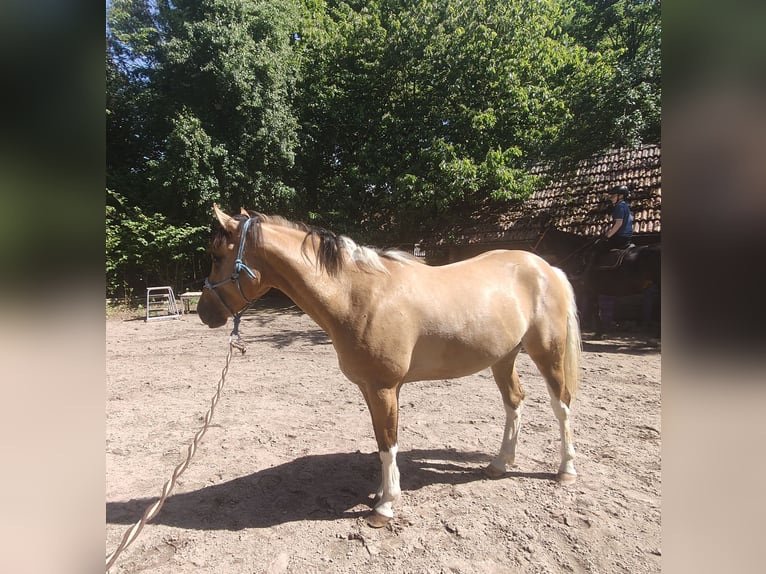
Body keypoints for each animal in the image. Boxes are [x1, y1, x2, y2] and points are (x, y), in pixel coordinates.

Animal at [197, 205, 582, 528]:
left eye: (217, 255)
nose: (204, 313)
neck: (358, 296)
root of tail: (545, 268)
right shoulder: (370, 388)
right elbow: (382, 442)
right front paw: (383, 494)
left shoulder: (384, 387)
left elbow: (388, 444)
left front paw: (384, 507)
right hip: (503, 358)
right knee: (514, 402)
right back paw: (500, 464)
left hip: (547, 352)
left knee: (561, 405)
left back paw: (566, 470)